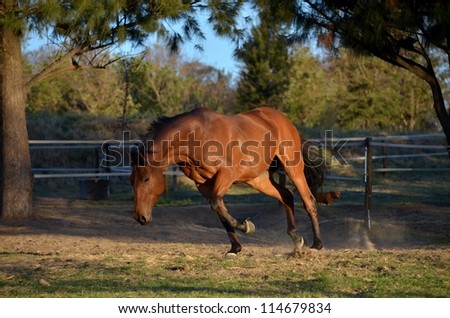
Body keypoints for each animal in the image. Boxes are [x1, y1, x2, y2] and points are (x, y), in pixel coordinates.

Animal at [130, 107, 324, 256]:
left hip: (293, 169)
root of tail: (285, 121)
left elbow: (218, 205)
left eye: (146, 178)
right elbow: (220, 212)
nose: (140, 217)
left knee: (308, 200)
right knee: (286, 195)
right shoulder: (204, 184)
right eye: (132, 181)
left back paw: (317, 244)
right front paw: (235, 249)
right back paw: (297, 239)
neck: (195, 136)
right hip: (258, 179)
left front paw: (246, 226)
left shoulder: (227, 174)